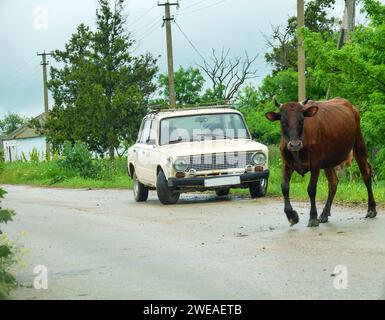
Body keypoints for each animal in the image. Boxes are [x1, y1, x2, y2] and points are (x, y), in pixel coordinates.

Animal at [264, 97, 376, 228]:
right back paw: (324, 214)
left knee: (366, 177)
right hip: (328, 161)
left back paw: (372, 209)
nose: (295, 144)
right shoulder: (286, 164)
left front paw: (313, 217)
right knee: (333, 183)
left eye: (302, 120)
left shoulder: (316, 163)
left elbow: (311, 189)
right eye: (283, 122)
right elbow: (284, 187)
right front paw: (292, 216)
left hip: (359, 145)